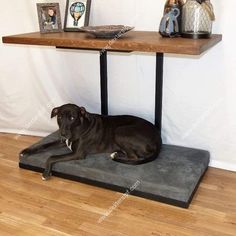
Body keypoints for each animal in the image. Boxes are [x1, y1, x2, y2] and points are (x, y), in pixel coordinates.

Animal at [20, 104, 162, 180]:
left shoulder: (78, 154)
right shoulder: (63, 142)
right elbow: (44, 145)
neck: (78, 128)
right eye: (59, 116)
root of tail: (158, 139)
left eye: (72, 118)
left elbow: (52, 157)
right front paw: (26, 151)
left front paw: (46, 173)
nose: (63, 133)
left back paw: (116, 155)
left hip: (120, 131)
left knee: (134, 157)